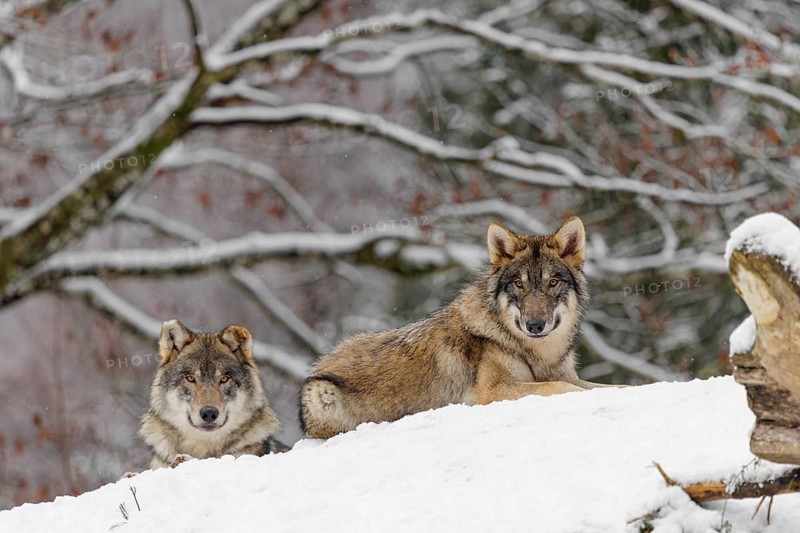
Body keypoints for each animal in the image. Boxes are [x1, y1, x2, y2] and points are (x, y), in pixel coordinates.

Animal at [300, 216, 614, 439]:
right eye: (518, 284)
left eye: (553, 283)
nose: (534, 325)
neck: (538, 353)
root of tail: (321, 362)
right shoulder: (493, 391)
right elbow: (561, 387)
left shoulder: (566, 374)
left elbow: (605, 386)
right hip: (322, 393)